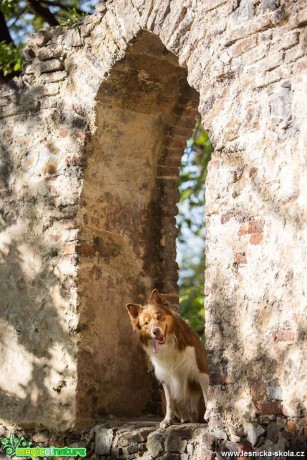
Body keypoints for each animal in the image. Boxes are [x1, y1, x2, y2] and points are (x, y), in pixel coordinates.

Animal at [126, 290, 211, 430]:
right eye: (146, 323)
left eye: (159, 316)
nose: (155, 331)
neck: (168, 344)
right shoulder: (165, 377)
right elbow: (170, 402)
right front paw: (167, 420)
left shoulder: (201, 372)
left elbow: (207, 396)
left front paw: (210, 415)